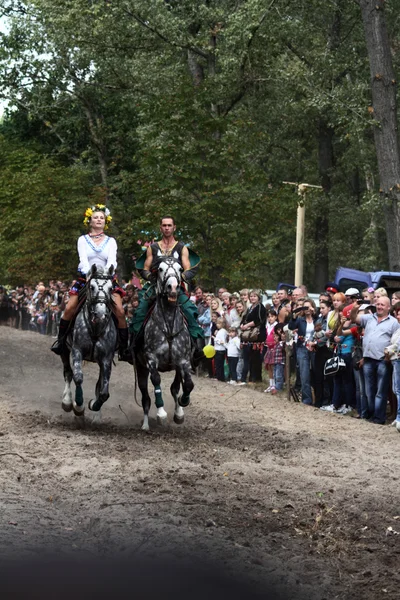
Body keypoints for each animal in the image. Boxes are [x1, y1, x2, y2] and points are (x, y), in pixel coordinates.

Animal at [59, 264, 117, 414]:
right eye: (92, 287)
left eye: (111, 288)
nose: (101, 314)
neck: (96, 327)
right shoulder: (77, 350)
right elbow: (78, 378)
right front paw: (78, 405)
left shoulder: (106, 359)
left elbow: (104, 393)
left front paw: (93, 404)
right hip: (64, 349)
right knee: (68, 373)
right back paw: (67, 401)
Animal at [135, 255, 195, 428]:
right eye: (160, 269)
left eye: (180, 269)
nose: (173, 287)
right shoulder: (151, 359)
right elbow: (156, 380)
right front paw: (161, 413)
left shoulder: (183, 360)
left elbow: (188, 385)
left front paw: (183, 403)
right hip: (140, 367)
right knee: (145, 398)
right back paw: (145, 425)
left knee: (175, 387)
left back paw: (178, 412)